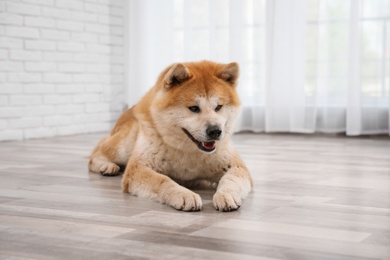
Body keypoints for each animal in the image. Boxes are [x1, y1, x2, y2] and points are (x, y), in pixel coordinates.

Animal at [88, 61, 253, 211]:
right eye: (194, 108)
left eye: (218, 107)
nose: (215, 131)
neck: (188, 151)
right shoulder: (138, 168)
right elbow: (163, 180)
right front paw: (184, 194)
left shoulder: (236, 166)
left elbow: (230, 180)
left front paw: (226, 194)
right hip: (124, 146)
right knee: (96, 153)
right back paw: (107, 166)